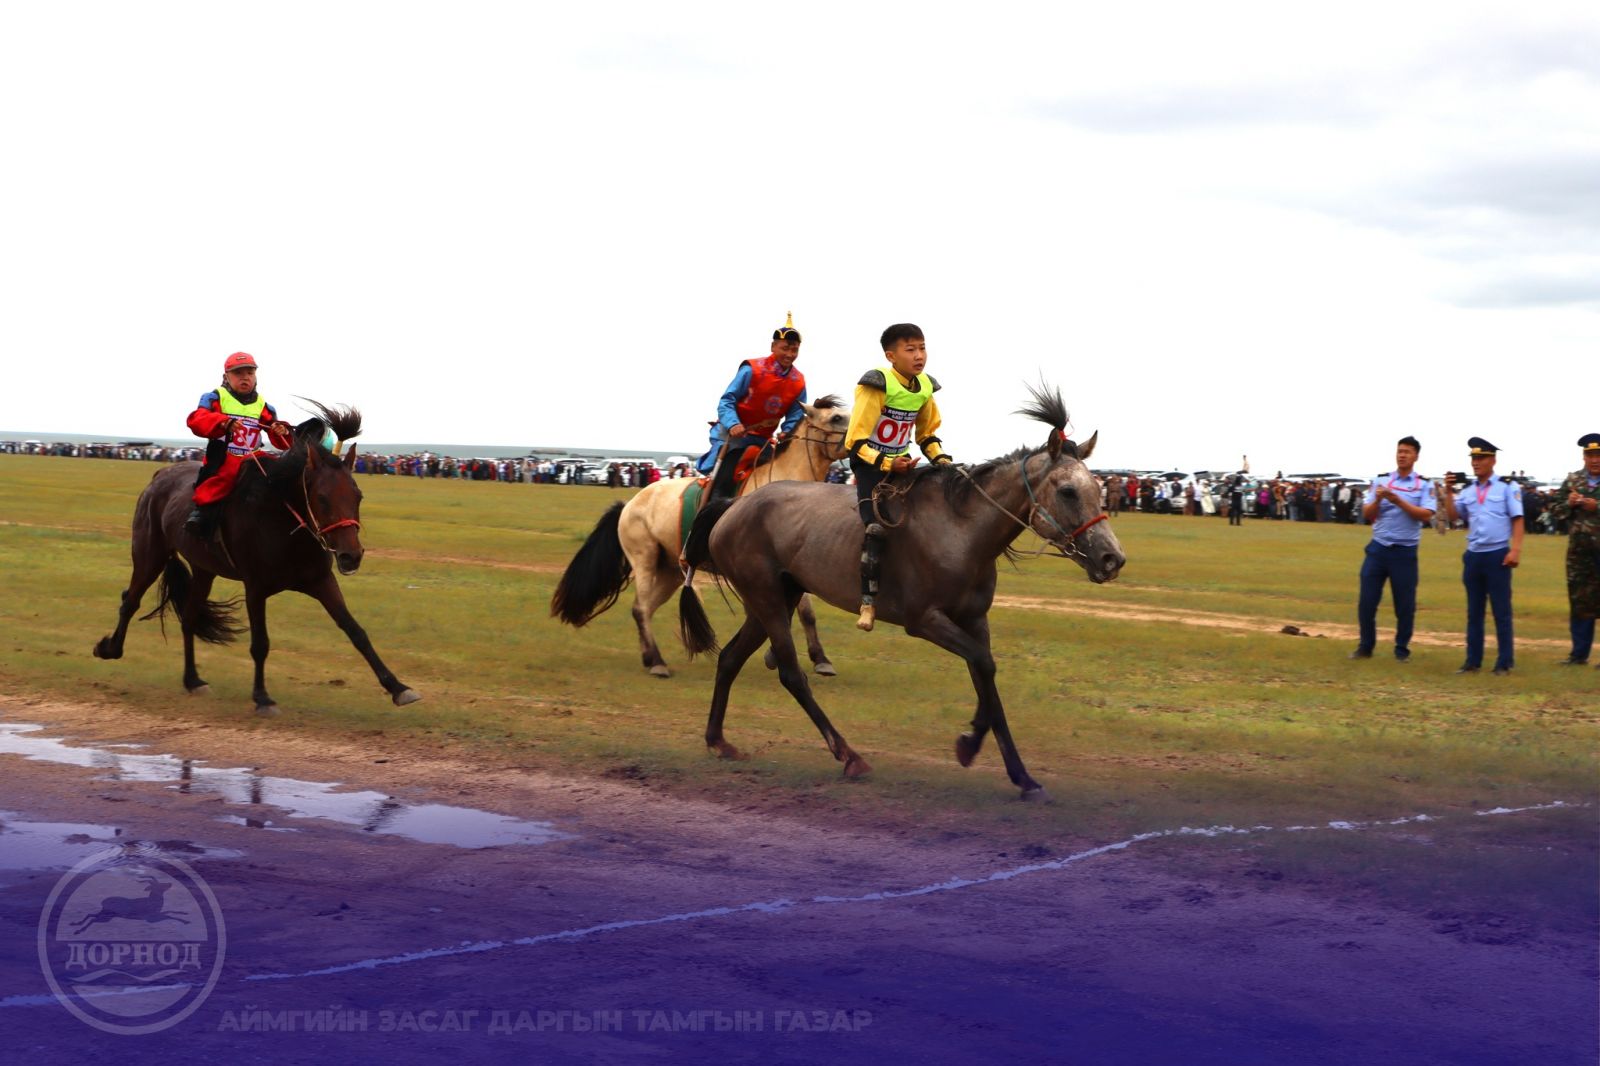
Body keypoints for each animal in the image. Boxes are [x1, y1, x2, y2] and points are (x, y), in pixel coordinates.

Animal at [92, 402, 421, 715]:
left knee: (189, 617)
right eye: (322, 498)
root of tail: (159, 476)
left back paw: (193, 680)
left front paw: (398, 687)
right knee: (130, 600)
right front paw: (263, 698)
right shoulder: (256, 588)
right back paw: (109, 649)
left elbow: (356, 631)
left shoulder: (320, 581)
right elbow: (260, 643)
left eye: (358, 496)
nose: (351, 556)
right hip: (150, 554)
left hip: (203, 570)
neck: (284, 522)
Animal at [551, 396, 851, 678]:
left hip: (670, 570)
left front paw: (818, 659)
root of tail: (629, 504)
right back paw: (656, 662)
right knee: (640, 608)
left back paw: (650, 657)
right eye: (836, 417)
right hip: (644, 559)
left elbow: (806, 613)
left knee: (647, 608)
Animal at [679, 384, 1125, 801]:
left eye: (1097, 488)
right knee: (790, 673)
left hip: (775, 599)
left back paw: (718, 740)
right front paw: (974, 745)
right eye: (1067, 491)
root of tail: (732, 506)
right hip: (768, 599)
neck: (961, 530)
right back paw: (849, 755)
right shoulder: (924, 620)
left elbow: (986, 675)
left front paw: (1017, 773)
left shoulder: (973, 620)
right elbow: (983, 664)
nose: (1112, 558)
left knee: (730, 658)